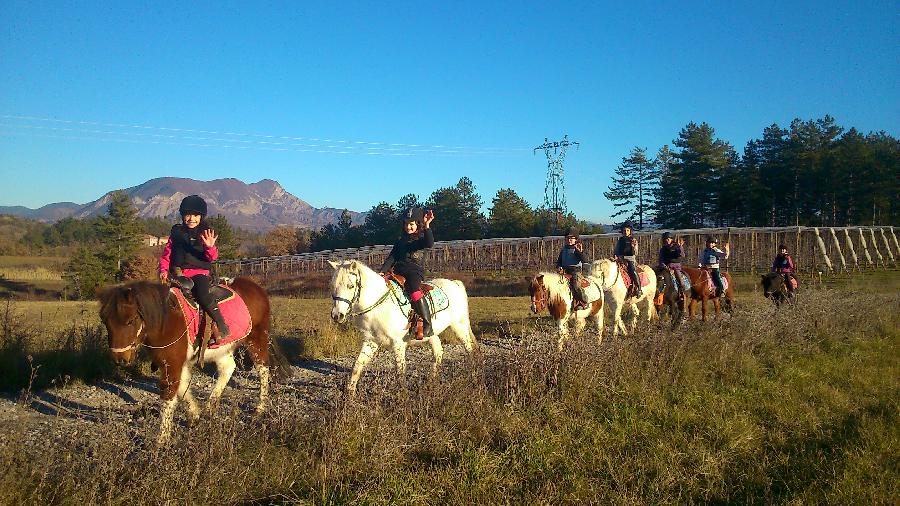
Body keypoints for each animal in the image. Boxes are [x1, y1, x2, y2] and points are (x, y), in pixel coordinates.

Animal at [99, 276, 290, 442]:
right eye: (105, 322)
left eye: (130, 321)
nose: (120, 359)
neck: (167, 320)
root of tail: (256, 287)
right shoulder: (176, 363)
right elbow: (183, 388)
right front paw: (194, 415)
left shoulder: (172, 363)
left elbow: (169, 395)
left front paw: (162, 439)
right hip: (223, 348)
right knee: (228, 368)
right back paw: (210, 407)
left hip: (257, 338)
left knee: (263, 369)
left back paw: (260, 407)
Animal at [328, 260, 482, 396]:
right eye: (333, 286)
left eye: (350, 286)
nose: (337, 315)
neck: (379, 307)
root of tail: (454, 283)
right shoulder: (370, 342)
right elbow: (356, 367)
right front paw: (349, 397)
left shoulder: (398, 344)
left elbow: (400, 372)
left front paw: (402, 397)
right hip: (432, 334)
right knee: (438, 353)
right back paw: (430, 384)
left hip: (459, 327)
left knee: (470, 351)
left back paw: (474, 378)